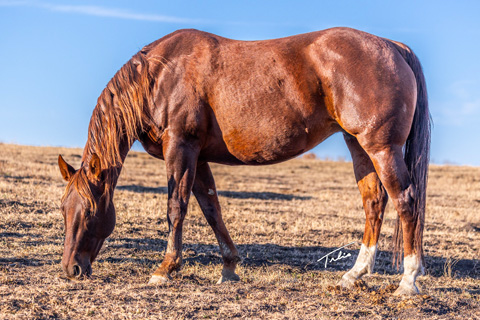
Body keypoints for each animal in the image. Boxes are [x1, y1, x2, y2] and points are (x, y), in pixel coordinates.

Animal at [58, 27, 430, 296]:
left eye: (89, 212)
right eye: (64, 209)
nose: (70, 269)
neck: (160, 75)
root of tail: (393, 46)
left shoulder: (180, 148)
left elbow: (176, 207)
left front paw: (165, 269)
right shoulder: (198, 158)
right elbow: (212, 209)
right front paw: (229, 267)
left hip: (382, 148)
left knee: (406, 201)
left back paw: (408, 281)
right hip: (359, 146)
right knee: (374, 203)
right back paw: (355, 274)